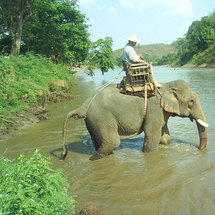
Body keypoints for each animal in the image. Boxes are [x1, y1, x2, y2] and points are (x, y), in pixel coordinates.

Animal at [61, 80, 208, 160]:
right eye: (191, 102)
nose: (199, 148)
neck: (166, 85)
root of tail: (84, 105)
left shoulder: (161, 112)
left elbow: (165, 137)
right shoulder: (155, 109)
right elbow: (151, 136)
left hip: (93, 121)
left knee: (100, 143)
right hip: (102, 119)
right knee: (112, 142)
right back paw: (89, 160)